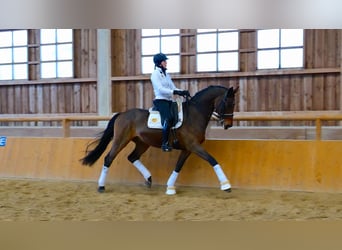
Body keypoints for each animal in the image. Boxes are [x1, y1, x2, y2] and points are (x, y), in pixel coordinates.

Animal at [82, 85, 239, 194]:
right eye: (228, 103)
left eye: (234, 104)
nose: (228, 125)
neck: (195, 114)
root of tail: (121, 114)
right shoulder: (193, 146)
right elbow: (213, 160)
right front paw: (226, 185)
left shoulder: (188, 148)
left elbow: (178, 166)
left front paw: (170, 187)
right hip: (121, 140)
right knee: (109, 158)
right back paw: (101, 186)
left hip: (142, 143)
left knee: (132, 157)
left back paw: (149, 179)